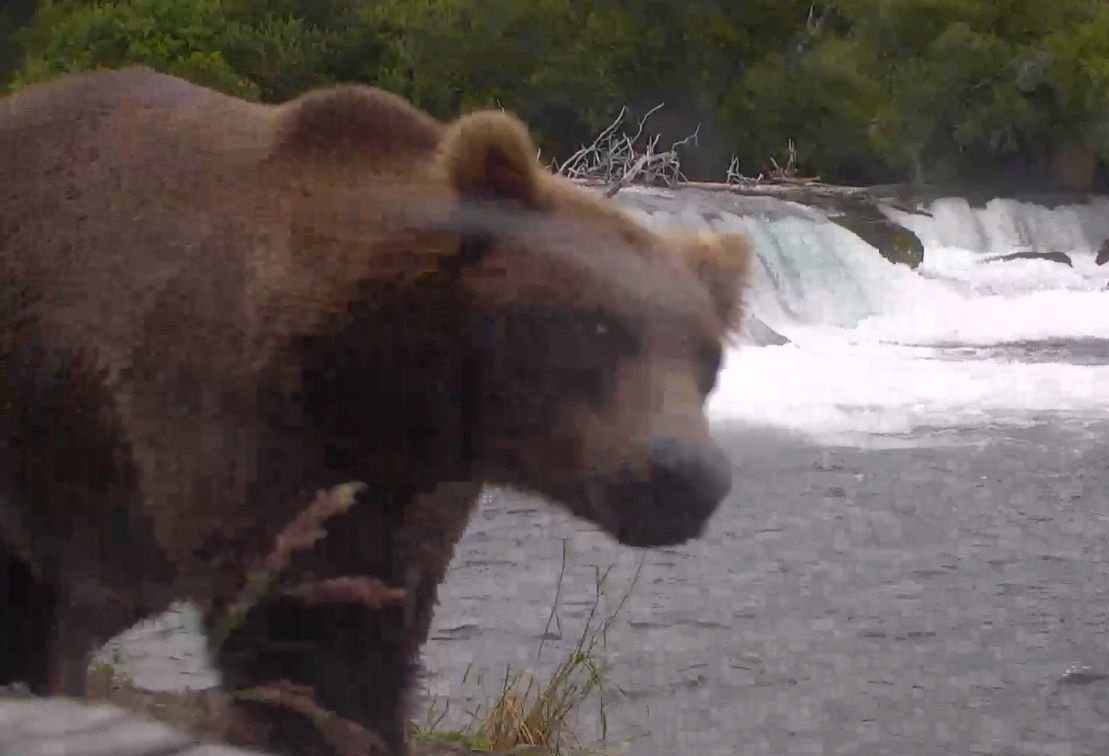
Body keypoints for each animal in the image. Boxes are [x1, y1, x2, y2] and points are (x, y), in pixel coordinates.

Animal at [0, 66, 753, 755]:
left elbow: (382, 618)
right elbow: (307, 635)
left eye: (707, 362)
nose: (685, 474)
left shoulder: (411, 484)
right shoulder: (240, 413)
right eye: (596, 328)